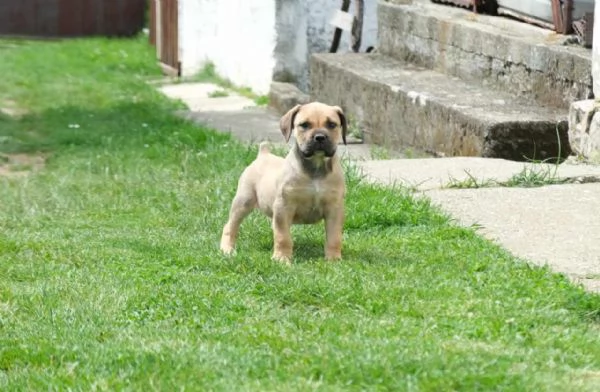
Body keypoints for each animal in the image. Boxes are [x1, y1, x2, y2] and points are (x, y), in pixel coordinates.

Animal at [221, 102, 346, 264]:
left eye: (332, 124)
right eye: (304, 125)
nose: (320, 137)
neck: (315, 167)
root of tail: (263, 153)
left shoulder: (334, 209)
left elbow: (334, 237)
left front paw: (333, 259)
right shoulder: (284, 207)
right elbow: (283, 236)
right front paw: (281, 258)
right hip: (243, 201)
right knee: (230, 226)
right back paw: (227, 249)